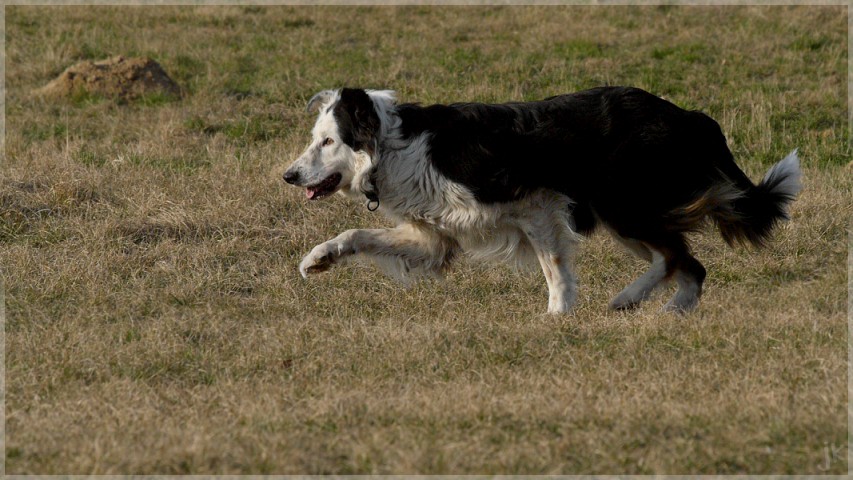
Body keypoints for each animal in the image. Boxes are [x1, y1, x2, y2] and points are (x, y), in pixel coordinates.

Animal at [282, 86, 804, 314]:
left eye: (328, 141)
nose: (289, 176)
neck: (393, 145)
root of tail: (686, 114)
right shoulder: (432, 237)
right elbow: (358, 233)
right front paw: (319, 259)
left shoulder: (532, 204)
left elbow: (554, 268)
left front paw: (557, 316)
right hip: (623, 212)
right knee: (687, 263)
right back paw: (661, 307)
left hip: (619, 204)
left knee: (677, 257)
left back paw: (639, 301)